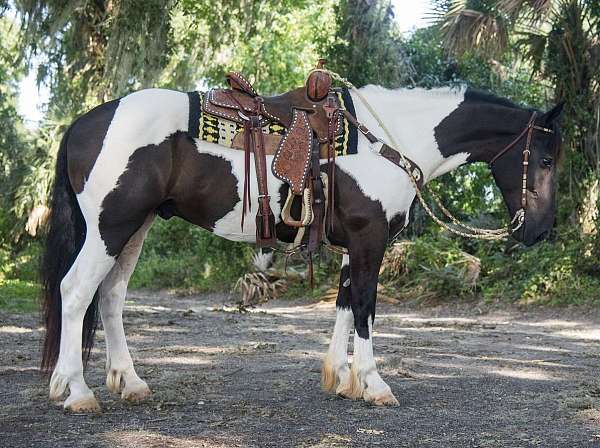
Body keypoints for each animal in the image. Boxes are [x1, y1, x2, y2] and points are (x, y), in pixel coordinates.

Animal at [41, 82, 564, 412]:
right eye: (544, 159)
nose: (540, 232)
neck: (389, 141)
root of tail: (86, 122)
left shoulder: (354, 244)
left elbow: (344, 303)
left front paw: (341, 379)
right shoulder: (369, 239)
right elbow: (366, 306)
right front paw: (374, 384)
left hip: (135, 227)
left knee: (110, 296)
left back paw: (129, 383)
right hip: (111, 226)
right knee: (75, 291)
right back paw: (77, 392)